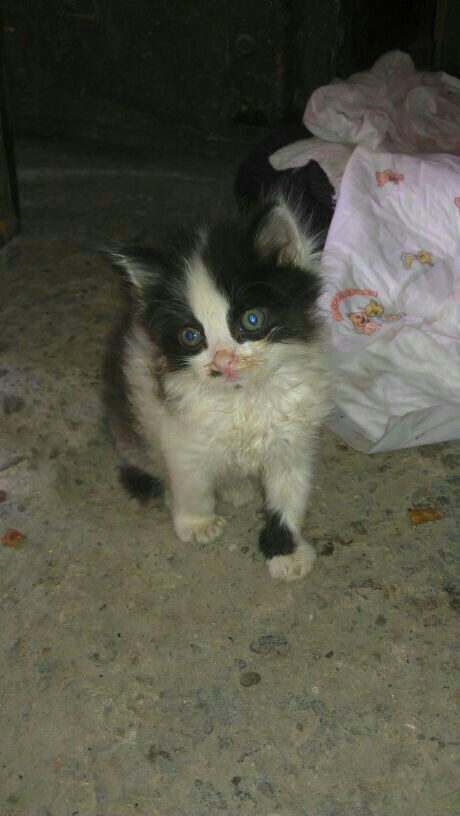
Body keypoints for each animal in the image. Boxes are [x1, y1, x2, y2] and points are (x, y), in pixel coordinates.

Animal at [103, 197, 330, 581]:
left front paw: (285, 549)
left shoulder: (293, 439)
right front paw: (196, 523)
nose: (223, 360)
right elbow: (192, 482)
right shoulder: (181, 433)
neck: (245, 397)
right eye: (191, 336)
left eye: (252, 319)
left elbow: (289, 494)